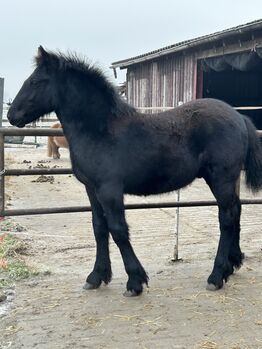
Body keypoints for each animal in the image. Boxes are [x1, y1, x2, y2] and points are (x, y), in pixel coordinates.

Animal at [7, 47, 262, 296]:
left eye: (37, 81)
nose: (12, 115)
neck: (100, 129)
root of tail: (239, 117)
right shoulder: (92, 189)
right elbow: (99, 228)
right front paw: (96, 277)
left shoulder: (109, 190)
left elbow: (118, 230)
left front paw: (135, 281)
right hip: (227, 180)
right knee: (236, 211)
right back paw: (232, 263)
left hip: (221, 178)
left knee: (227, 218)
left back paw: (216, 276)